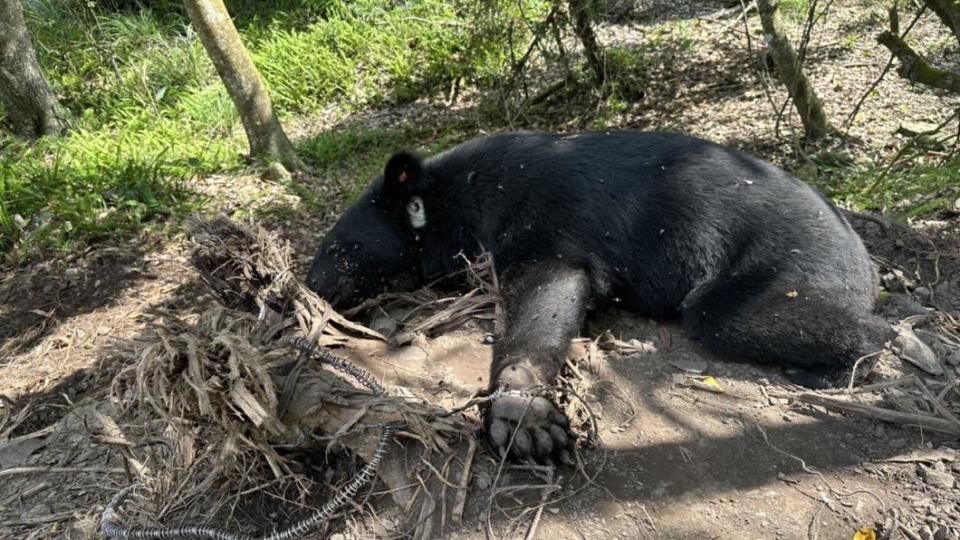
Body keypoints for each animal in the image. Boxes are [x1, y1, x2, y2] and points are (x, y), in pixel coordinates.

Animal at [312, 132, 896, 464]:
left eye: (339, 249)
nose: (312, 288)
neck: (459, 195)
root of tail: (865, 259)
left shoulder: (545, 220)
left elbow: (547, 293)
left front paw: (524, 417)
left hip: (788, 259)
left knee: (731, 314)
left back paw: (852, 359)